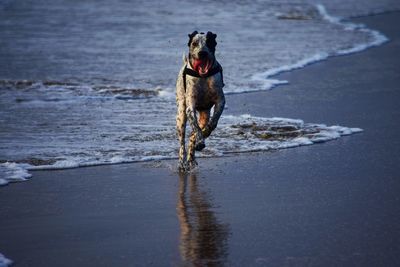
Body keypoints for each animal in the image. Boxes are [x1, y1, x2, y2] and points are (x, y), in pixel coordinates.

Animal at [175, 31, 225, 170]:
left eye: (209, 42)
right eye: (194, 43)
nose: (202, 53)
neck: (203, 76)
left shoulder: (220, 101)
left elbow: (213, 122)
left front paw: (206, 133)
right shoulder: (190, 108)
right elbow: (196, 128)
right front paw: (201, 139)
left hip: (204, 115)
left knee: (192, 137)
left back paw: (192, 157)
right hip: (181, 115)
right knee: (183, 141)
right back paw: (182, 162)